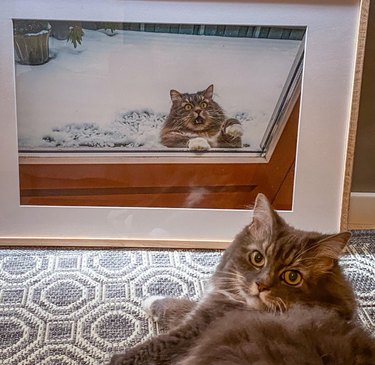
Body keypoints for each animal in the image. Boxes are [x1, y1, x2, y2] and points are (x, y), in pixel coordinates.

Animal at [109, 192, 375, 362]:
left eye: (292, 276)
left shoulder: (195, 329)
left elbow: (152, 346)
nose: (261, 285)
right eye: (258, 258)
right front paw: (151, 299)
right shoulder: (206, 310)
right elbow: (183, 305)